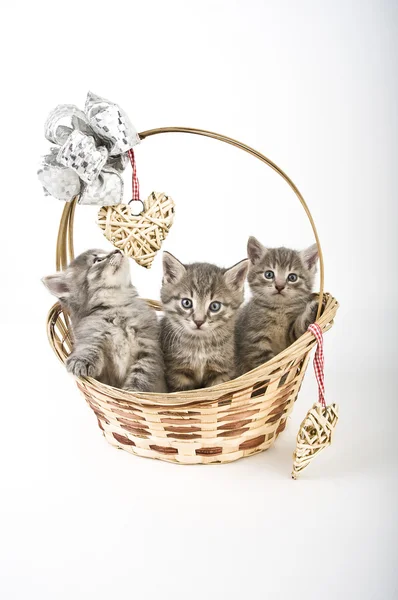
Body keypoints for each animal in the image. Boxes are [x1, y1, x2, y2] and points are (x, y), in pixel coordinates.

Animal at [41, 247, 164, 392]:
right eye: (97, 260)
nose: (117, 250)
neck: (117, 308)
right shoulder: (92, 334)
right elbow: (88, 348)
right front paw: (81, 361)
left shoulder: (149, 347)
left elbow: (141, 375)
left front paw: (132, 391)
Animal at [159, 251, 247, 392]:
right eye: (186, 303)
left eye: (215, 306)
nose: (198, 321)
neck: (200, 344)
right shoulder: (177, 372)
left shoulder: (221, 370)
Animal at [236, 236, 320, 372]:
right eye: (269, 274)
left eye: (292, 277)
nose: (279, 286)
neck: (279, 310)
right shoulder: (253, 340)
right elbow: (266, 366)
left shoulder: (291, 339)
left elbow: (298, 330)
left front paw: (313, 310)